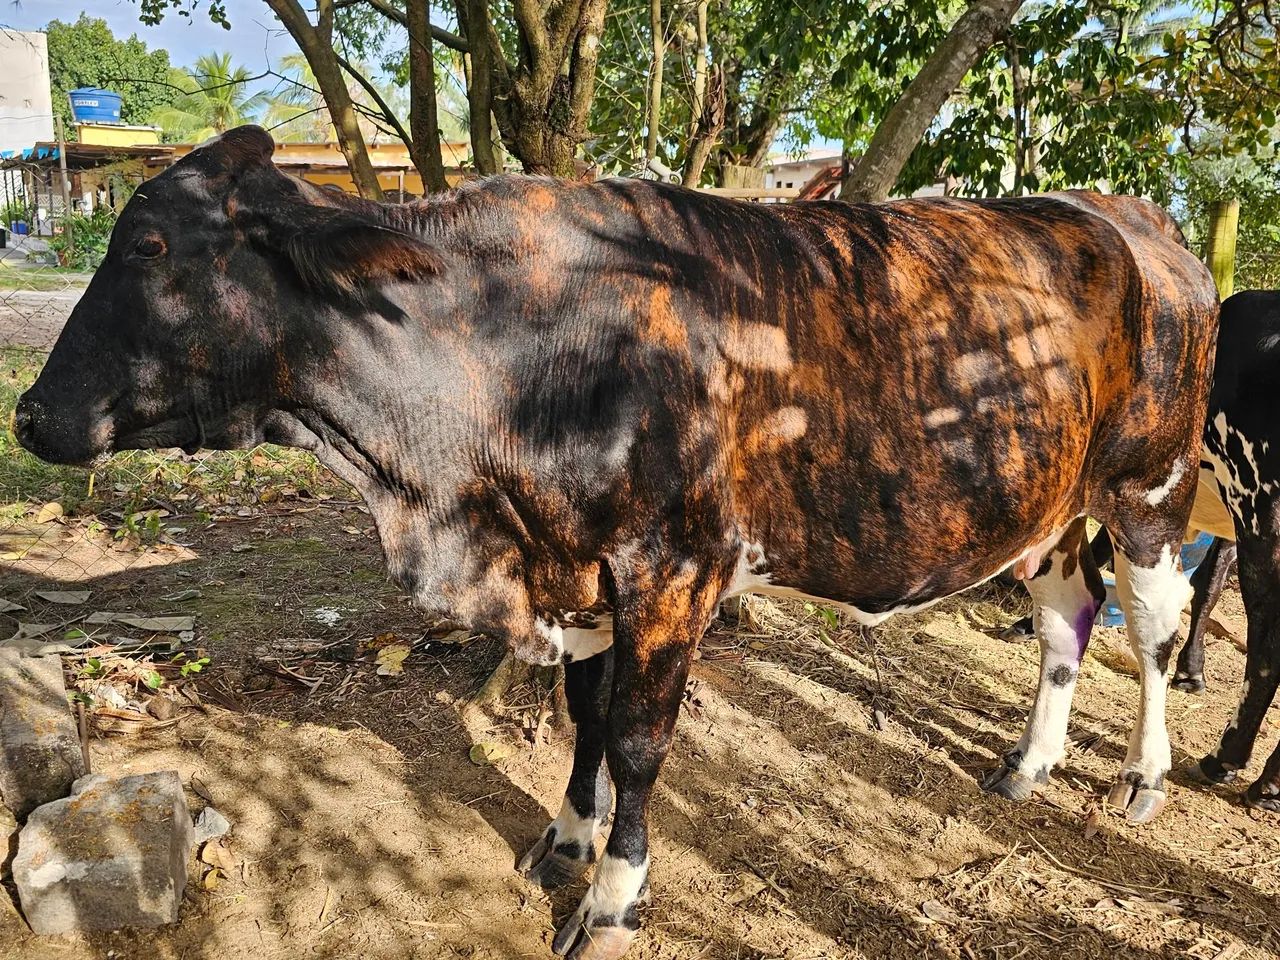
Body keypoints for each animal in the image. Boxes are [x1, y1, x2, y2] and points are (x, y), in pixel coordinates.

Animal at [13, 126, 1218, 960]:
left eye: (152, 245)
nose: (27, 414)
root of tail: (1132, 218)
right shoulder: (577, 568)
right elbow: (584, 715)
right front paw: (565, 837)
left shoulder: (672, 570)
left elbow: (638, 741)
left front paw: (611, 898)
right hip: (1048, 505)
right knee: (1066, 617)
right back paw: (1030, 761)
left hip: (1151, 489)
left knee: (1153, 632)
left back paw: (1144, 777)